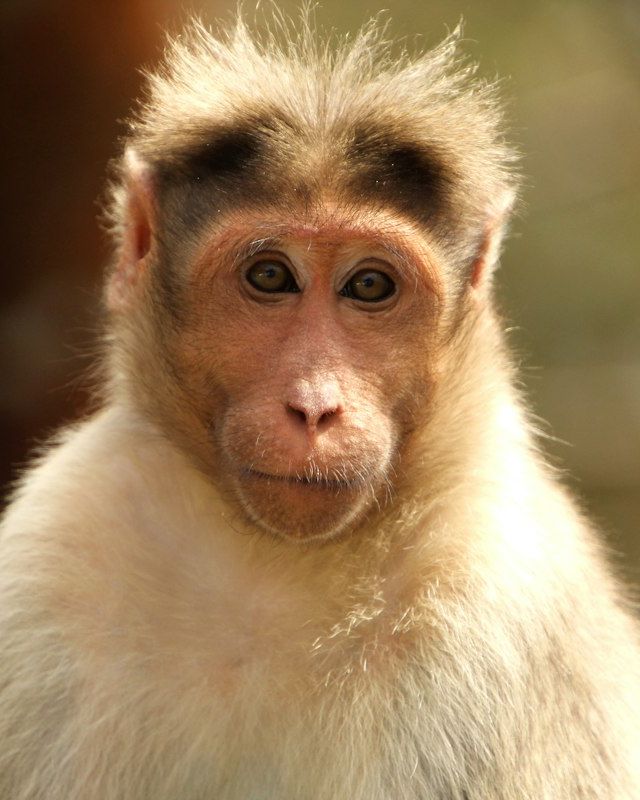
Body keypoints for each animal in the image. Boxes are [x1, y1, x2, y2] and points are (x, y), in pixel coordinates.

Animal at [0, 13, 639, 800]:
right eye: (271, 276)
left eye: (369, 286)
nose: (314, 407)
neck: (274, 570)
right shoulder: (55, 547)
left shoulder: (502, 597)